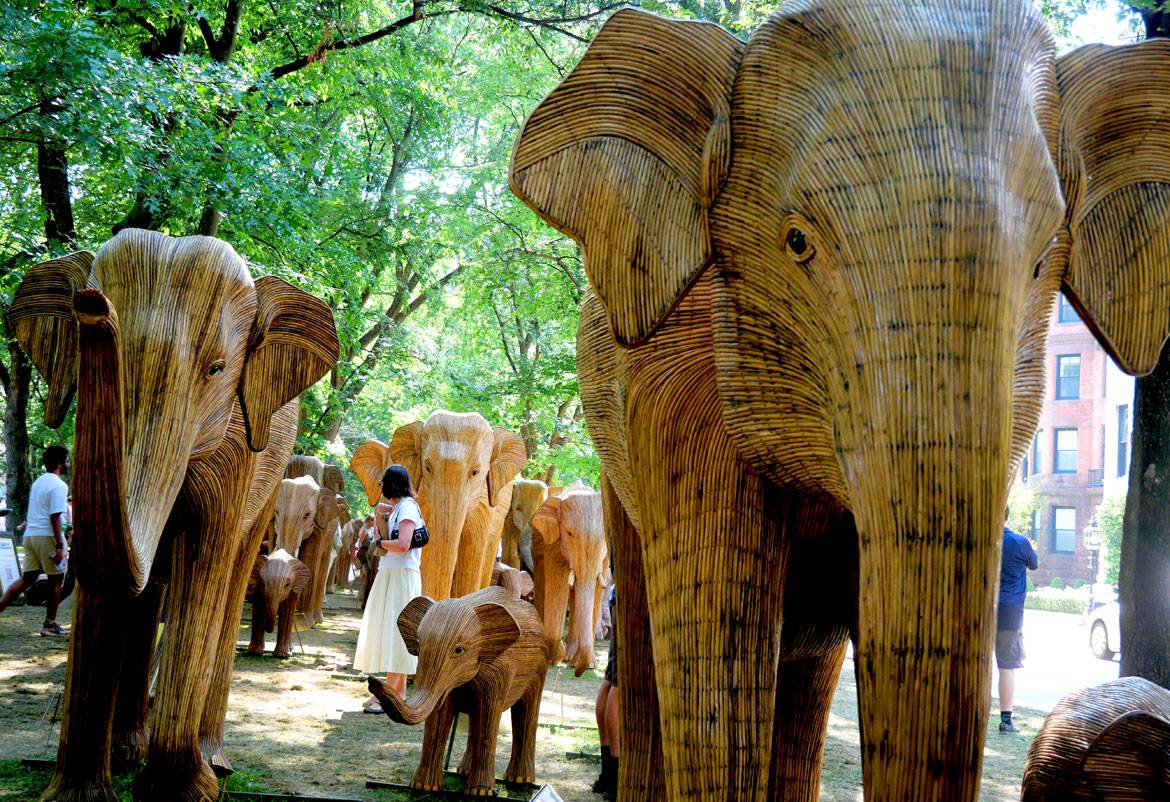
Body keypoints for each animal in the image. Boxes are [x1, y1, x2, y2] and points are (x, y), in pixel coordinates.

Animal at [9, 229, 338, 802]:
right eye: (76, 347)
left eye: (217, 369)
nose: (92, 305)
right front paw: (77, 796)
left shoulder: (236, 451)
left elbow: (204, 561)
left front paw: (182, 793)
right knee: (153, 590)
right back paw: (128, 750)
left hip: (272, 479)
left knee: (231, 578)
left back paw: (215, 763)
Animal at [369, 586, 550, 795]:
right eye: (419, 646)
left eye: (458, 650)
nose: (372, 681)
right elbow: (439, 714)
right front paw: (423, 787)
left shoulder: (497, 672)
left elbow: (488, 716)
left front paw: (480, 792)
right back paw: (464, 771)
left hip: (539, 666)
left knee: (527, 711)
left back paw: (520, 781)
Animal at [529, 481, 608, 674]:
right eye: (569, 533)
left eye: (605, 535)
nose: (578, 673)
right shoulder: (552, 544)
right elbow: (557, 584)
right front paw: (555, 657)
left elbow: (596, 590)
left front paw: (588, 665)